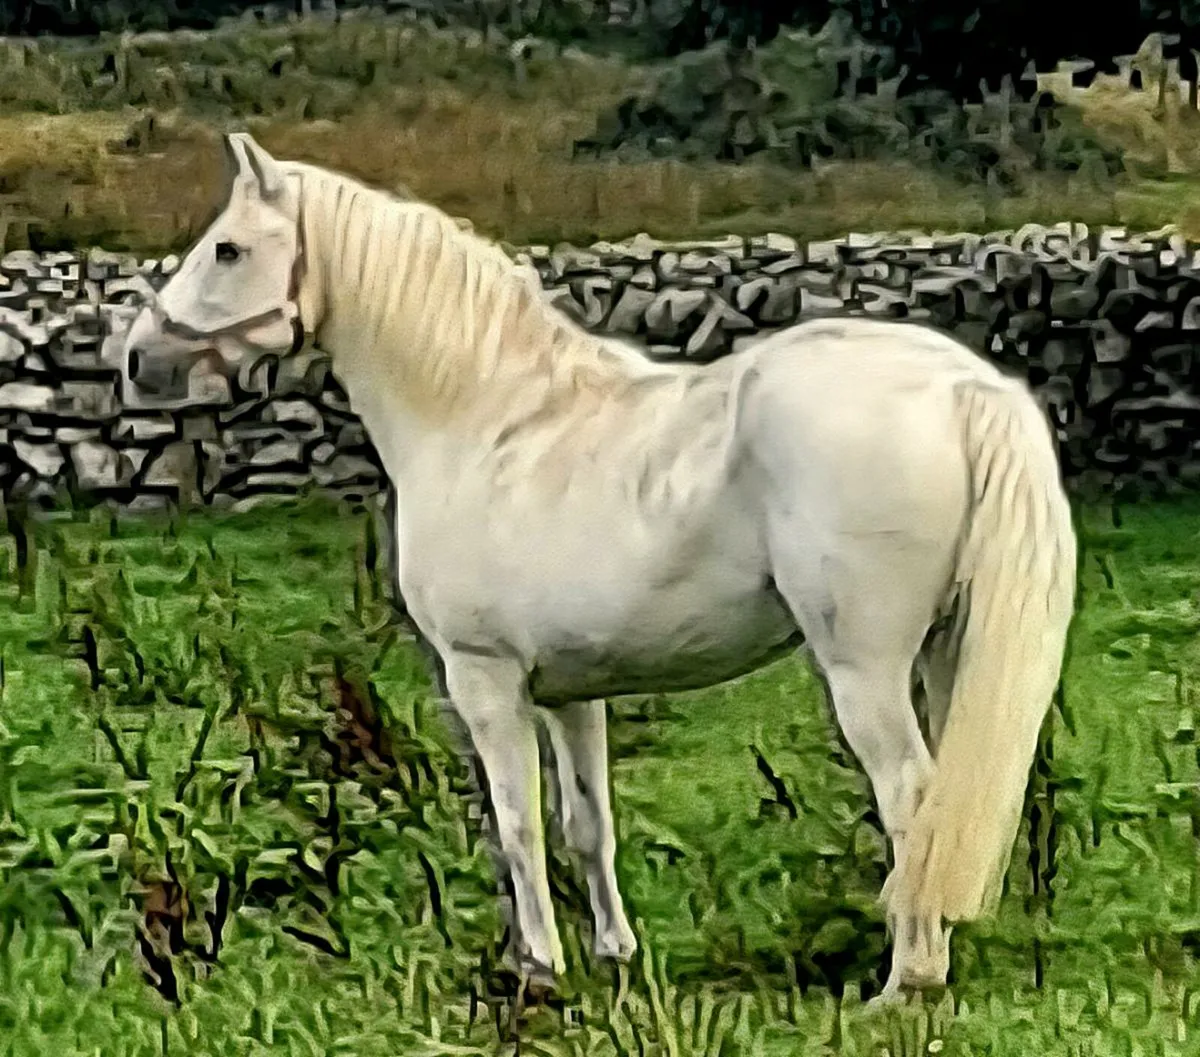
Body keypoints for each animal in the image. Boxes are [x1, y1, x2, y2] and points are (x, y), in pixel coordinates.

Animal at [121, 132, 1078, 1004]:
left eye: (228, 248)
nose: (138, 359)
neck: (487, 420)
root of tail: (963, 390)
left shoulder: (484, 679)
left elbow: (518, 827)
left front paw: (538, 970)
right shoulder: (572, 692)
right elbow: (587, 823)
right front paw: (614, 953)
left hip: (865, 669)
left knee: (912, 797)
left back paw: (906, 980)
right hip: (948, 649)